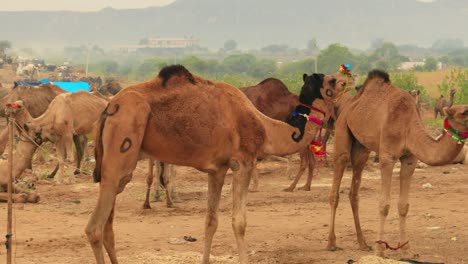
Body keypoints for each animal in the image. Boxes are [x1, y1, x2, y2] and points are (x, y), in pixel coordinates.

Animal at [86, 64, 346, 264]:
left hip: (120, 169)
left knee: (108, 227)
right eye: (333, 81)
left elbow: (210, 222)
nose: (347, 80)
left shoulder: (217, 170)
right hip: (121, 145)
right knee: (94, 228)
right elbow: (239, 222)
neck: (265, 128)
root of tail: (108, 108)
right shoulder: (243, 162)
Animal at [326, 69, 468, 258]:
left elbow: (404, 205)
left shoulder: (410, 159)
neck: (408, 125)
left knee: (354, 191)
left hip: (362, 147)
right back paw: (331, 243)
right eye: (464, 112)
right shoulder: (387, 156)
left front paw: (406, 250)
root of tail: (349, 104)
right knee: (337, 178)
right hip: (342, 128)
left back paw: (363, 243)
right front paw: (380, 250)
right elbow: (384, 204)